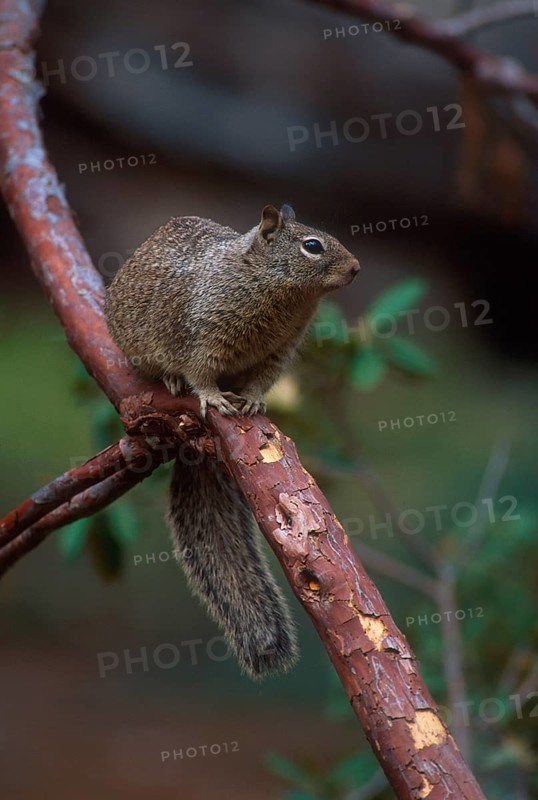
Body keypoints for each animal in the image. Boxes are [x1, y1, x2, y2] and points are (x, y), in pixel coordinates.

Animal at [104, 204, 360, 680]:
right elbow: (200, 372)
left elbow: (259, 382)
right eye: (312, 245)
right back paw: (172, 381)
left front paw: (254, 401)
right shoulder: (204, 336)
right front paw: (211, 396)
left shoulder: (277, 352)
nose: (356, 268)